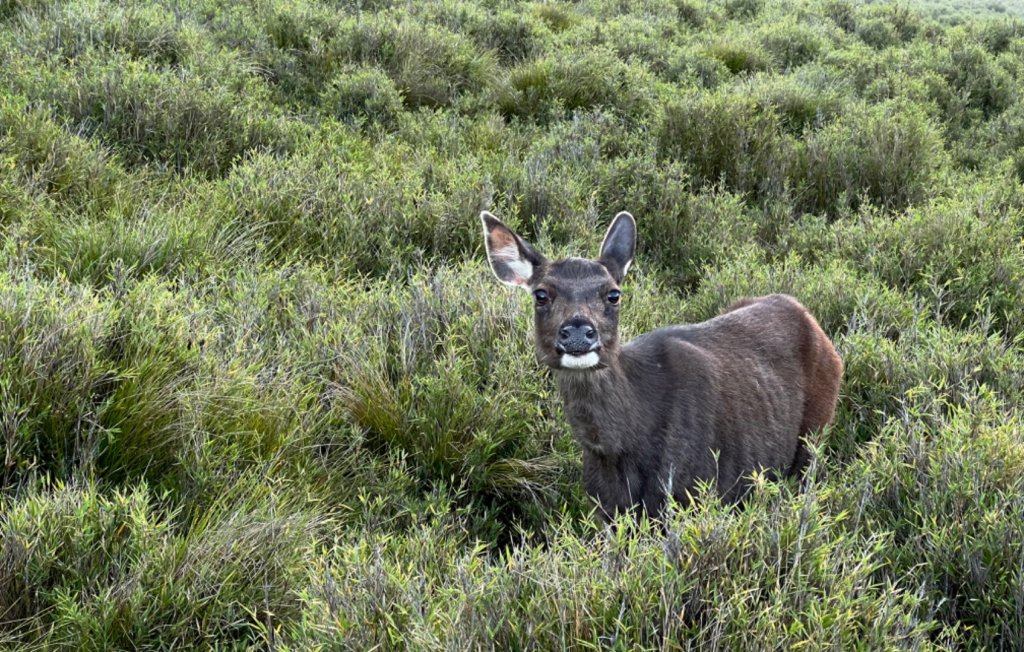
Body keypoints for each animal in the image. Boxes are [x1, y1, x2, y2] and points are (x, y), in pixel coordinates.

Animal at [479, 209, 839, 517]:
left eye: (613, 294)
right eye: (541, 294)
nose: (579, 331)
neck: (619, 448)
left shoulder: (691, 489)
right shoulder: (604, 506)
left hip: (814, 434)